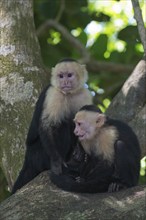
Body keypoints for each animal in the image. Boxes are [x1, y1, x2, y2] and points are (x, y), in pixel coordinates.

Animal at [12, 58, 93, 192]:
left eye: (69, 75)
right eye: (61, 76)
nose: (64, 81)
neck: (69, 94)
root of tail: (28, 157)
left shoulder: (84, 94)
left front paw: (80, 150)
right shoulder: (54, 94)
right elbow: (48, 125)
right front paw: (56, 162)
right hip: (38, 155)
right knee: (62, 124)